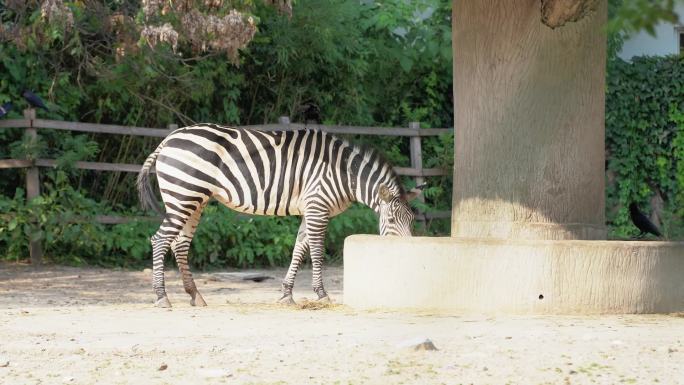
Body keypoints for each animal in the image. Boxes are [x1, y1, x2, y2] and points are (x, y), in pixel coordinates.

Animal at [138, 123, 422, 306]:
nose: (408, 251)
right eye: (391, 221)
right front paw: (321, 294)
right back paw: (161, 296)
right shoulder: (318, 207)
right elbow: (316, 252)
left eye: (412, 221)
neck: (342, 175)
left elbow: (299, 249)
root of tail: (168, 139)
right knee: (160, 240)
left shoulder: (310, 209)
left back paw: (195, 295)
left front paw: (287, 294)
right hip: (183, 195)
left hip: (194, 199)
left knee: (179, 244)